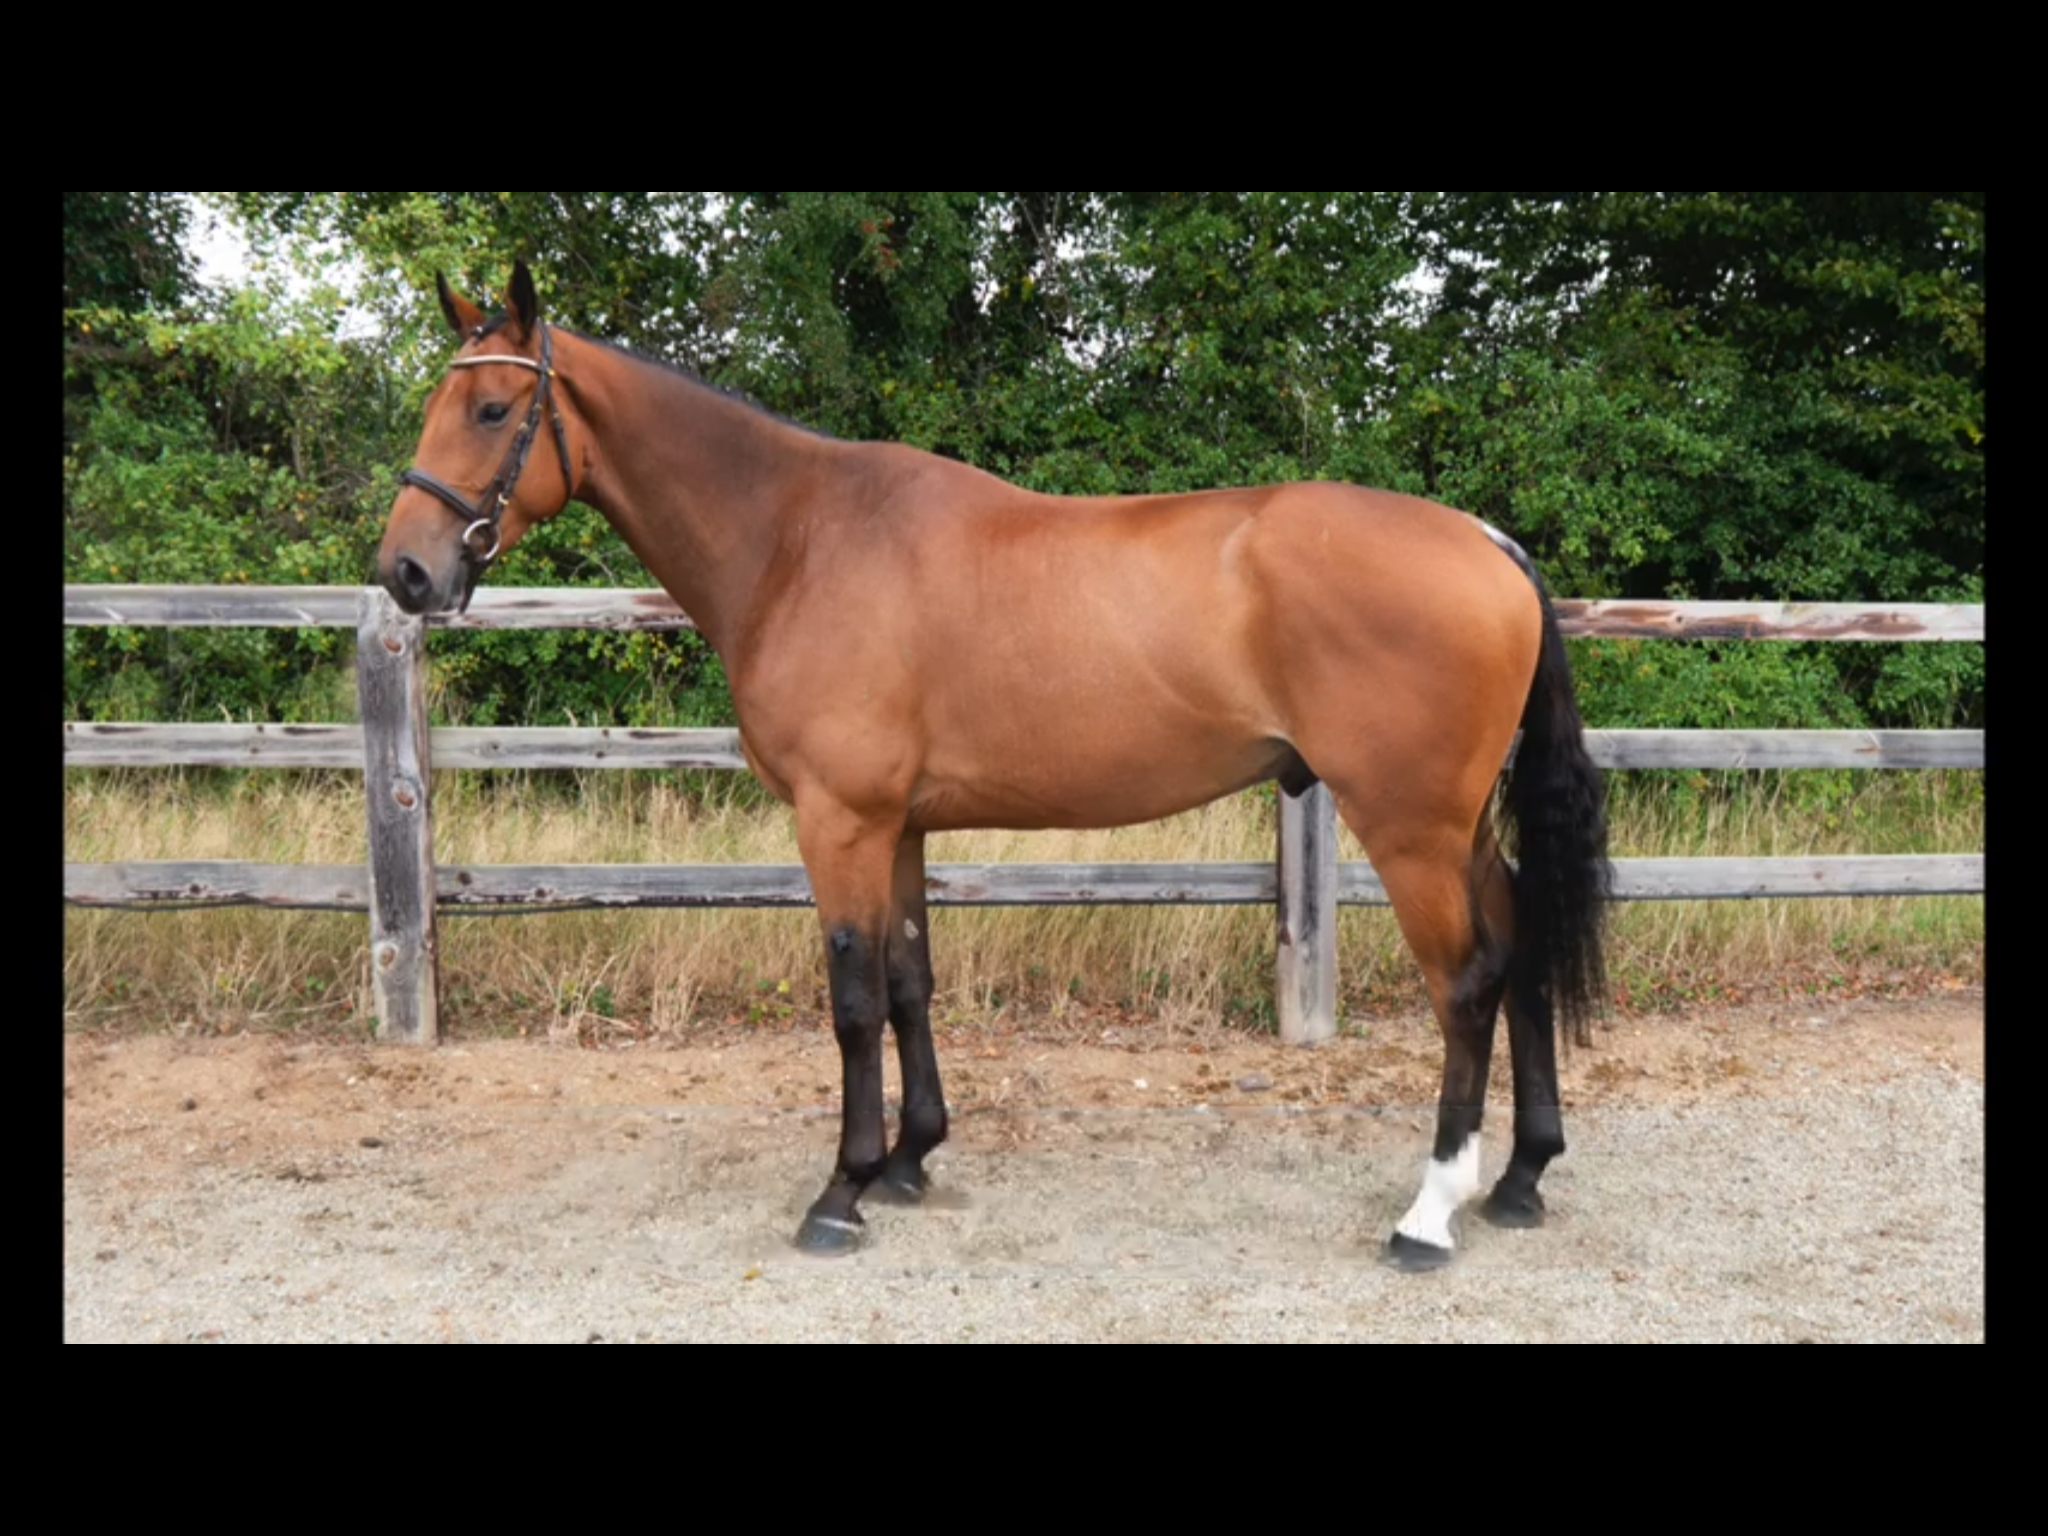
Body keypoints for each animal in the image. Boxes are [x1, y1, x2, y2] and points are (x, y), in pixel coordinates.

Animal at [377, 262, 1611, 1272]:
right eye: (437, 406)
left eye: (492, 409)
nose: (404, 572)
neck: (800, 540)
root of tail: (1485, 541)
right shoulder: (900, 825)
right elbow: (911, 980)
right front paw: (910, 1159)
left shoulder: (838, 822)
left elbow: (853, 1000)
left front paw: (841, 1192)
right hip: (1456, 828)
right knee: (1521, 943)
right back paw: (1519, 1179)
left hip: (1408, 828)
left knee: (1467, 983)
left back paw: (1429, 1214)